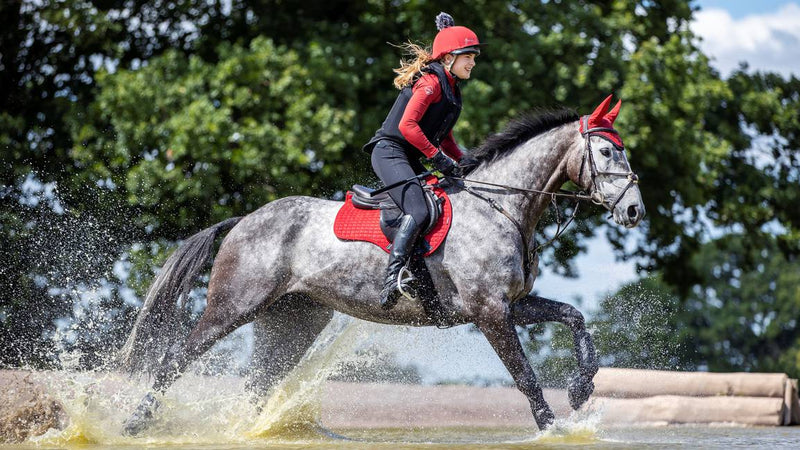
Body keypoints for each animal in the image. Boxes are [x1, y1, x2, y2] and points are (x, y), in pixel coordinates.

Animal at [117, 96, 644, 436]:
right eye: (605, 151)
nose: (634, 211)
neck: (501, 207)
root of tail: (244, 220)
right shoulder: (489, 312)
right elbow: (525, 376)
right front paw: (553, 428)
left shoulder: (510, 304)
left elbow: (574, 318)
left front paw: (580, 388)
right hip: (233, 306)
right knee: (175, 359)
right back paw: (134, 423)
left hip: (294, 319)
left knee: (257, 383)